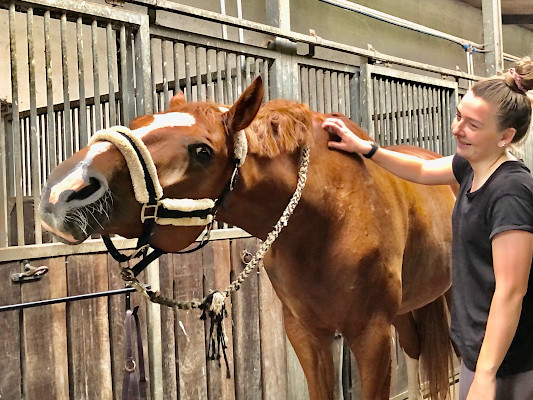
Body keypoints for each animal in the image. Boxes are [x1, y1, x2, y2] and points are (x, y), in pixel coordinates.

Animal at [39, 77, 454, 400]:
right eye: (138, 122)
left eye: (202, 151)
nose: (63, 191)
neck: (332, 217)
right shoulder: (307, 334)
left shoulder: (371, 336)